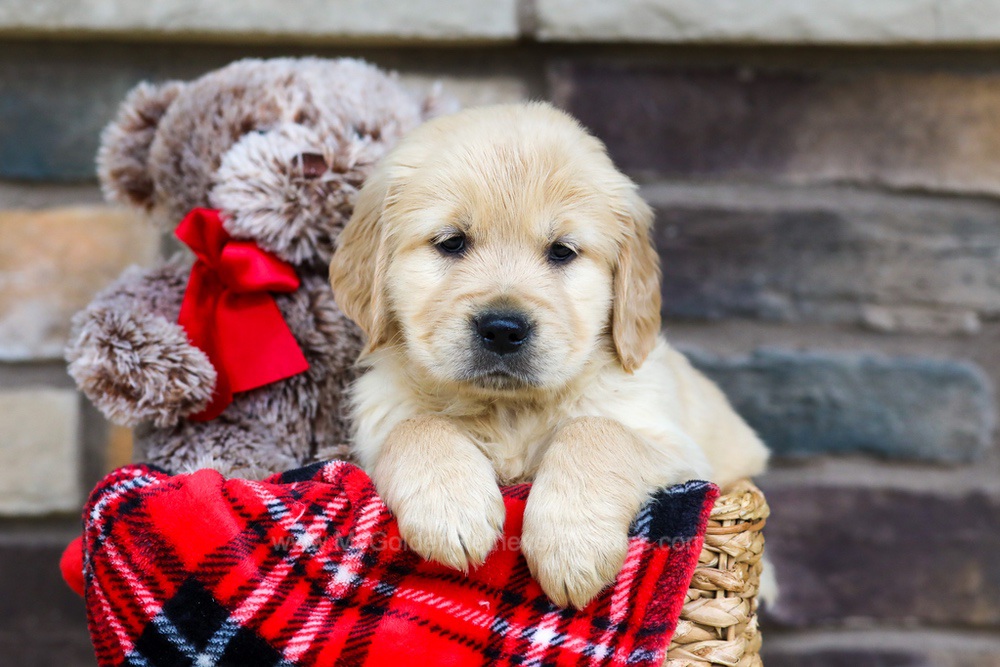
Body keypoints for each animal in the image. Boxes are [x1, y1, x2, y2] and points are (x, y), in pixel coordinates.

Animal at [328, 102, 764, 608]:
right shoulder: (374, 431)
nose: (502, 330)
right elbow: (416, 427)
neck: (509, 411)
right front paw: (451, 508)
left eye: (562, 252)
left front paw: (572, 543)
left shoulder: (683, 458)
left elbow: (595, 430)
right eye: (451, 242)